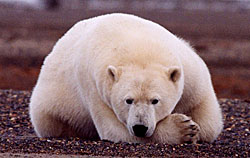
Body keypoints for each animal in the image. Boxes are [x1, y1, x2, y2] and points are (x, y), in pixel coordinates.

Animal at [28, 13, 223, 144]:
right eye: (128, 100)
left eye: (155, 100)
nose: (140, 127)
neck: (139, 46)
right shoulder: (95, 88)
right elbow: (115, 131)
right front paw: (184, 129)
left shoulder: (190, 71)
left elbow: (208, 119)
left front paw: (195, 127)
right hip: (51, 108)